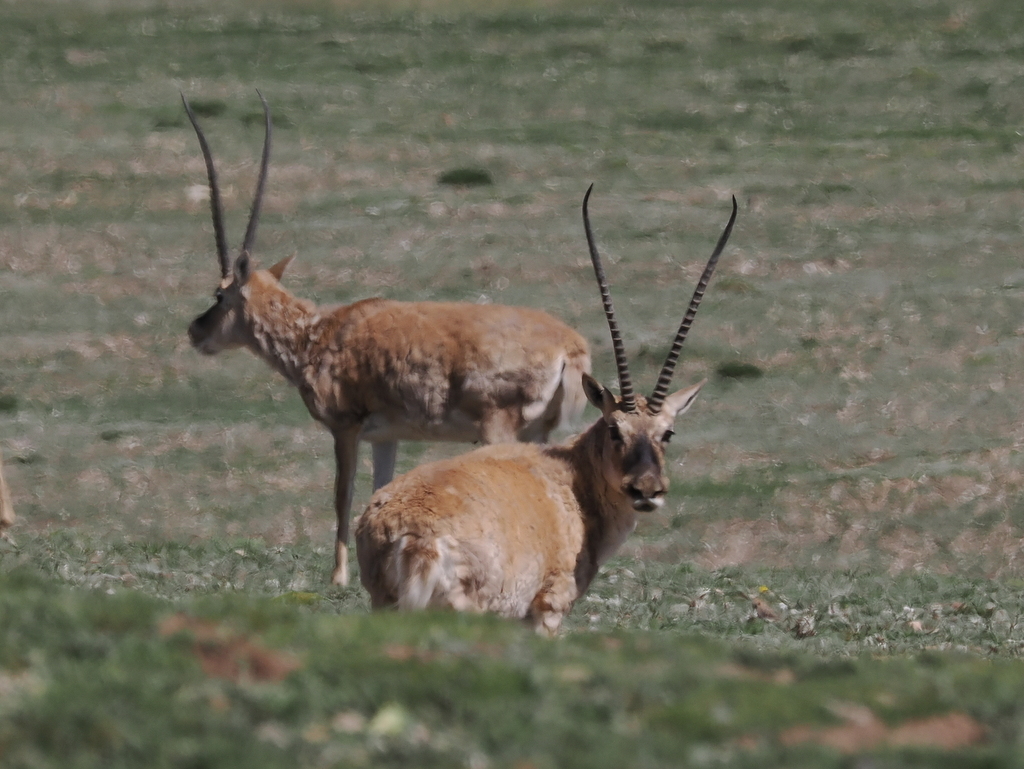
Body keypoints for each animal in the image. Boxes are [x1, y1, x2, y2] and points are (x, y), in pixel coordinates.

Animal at [182, 92, 591, 586]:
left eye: (220, 294)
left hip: (499, 428)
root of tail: (570, 345)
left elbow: (342, 495)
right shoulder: (385, 437)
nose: (196, 330)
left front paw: (338, 577)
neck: (318, 335)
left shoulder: (346, 427)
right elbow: (381, 489)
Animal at [356, 186, 738, 633]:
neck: (571, 478)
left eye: (668, 432)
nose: (646, 490)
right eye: (614, 429)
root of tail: (412, 537)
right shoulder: (547, 611)